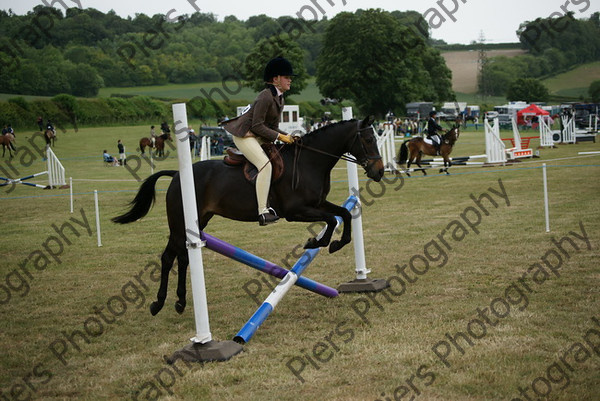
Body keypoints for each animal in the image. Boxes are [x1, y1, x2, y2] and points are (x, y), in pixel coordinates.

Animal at [112, 115, 384, 316]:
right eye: (369, 139)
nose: (379, 172)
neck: (309, 160)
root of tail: (178, 175)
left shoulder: (318, 203)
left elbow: (343, 214)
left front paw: (336, 244)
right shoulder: (296, 211)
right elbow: (330, 220)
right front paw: (315, 242)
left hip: (197, 222)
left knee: (183, 257)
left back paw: (180, 302)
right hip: (179, 224)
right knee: (169, 257)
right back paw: (158, 304)